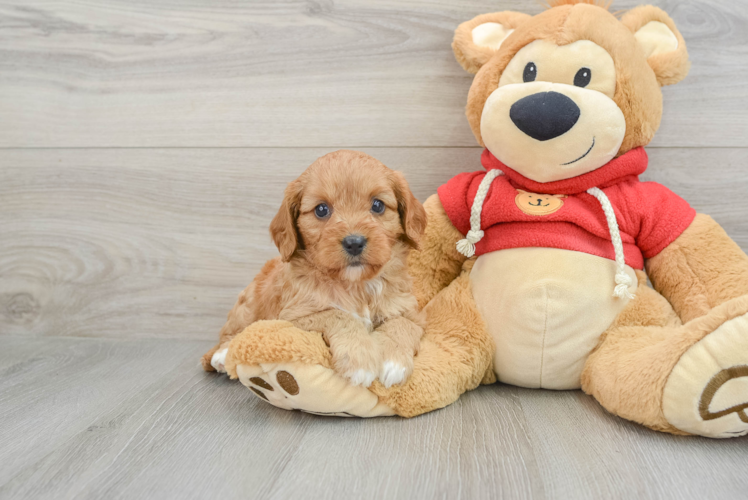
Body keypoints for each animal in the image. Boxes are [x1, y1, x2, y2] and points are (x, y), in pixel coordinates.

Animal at [202, 150, 426, 388]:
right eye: (321, 210)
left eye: (377, 205)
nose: (354, 242)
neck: (356, 285)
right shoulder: (292, 317)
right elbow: (338, 315)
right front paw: (359, 362)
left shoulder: (411, 310)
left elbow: (402, 323)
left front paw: (393, 362)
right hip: (248, 306)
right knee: (230, 333)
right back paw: (222, 355)